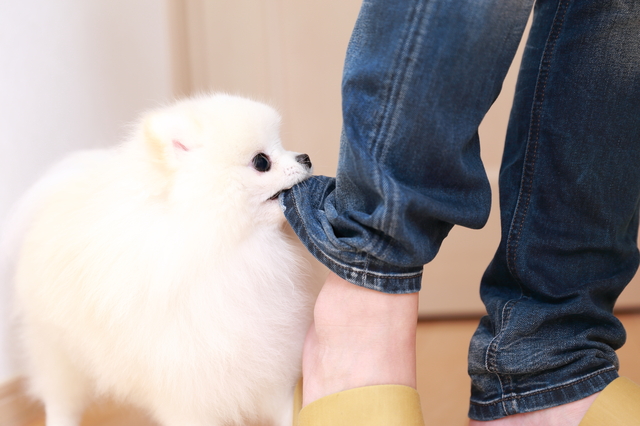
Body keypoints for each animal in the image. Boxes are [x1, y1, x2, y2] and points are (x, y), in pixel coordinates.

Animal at [5, 94, 316, 426]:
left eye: (281, 144)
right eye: (261, 162)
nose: (306, 158)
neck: (228, 248)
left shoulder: (271, 368)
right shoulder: (188, 390)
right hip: (59, 354)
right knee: (60, 403)